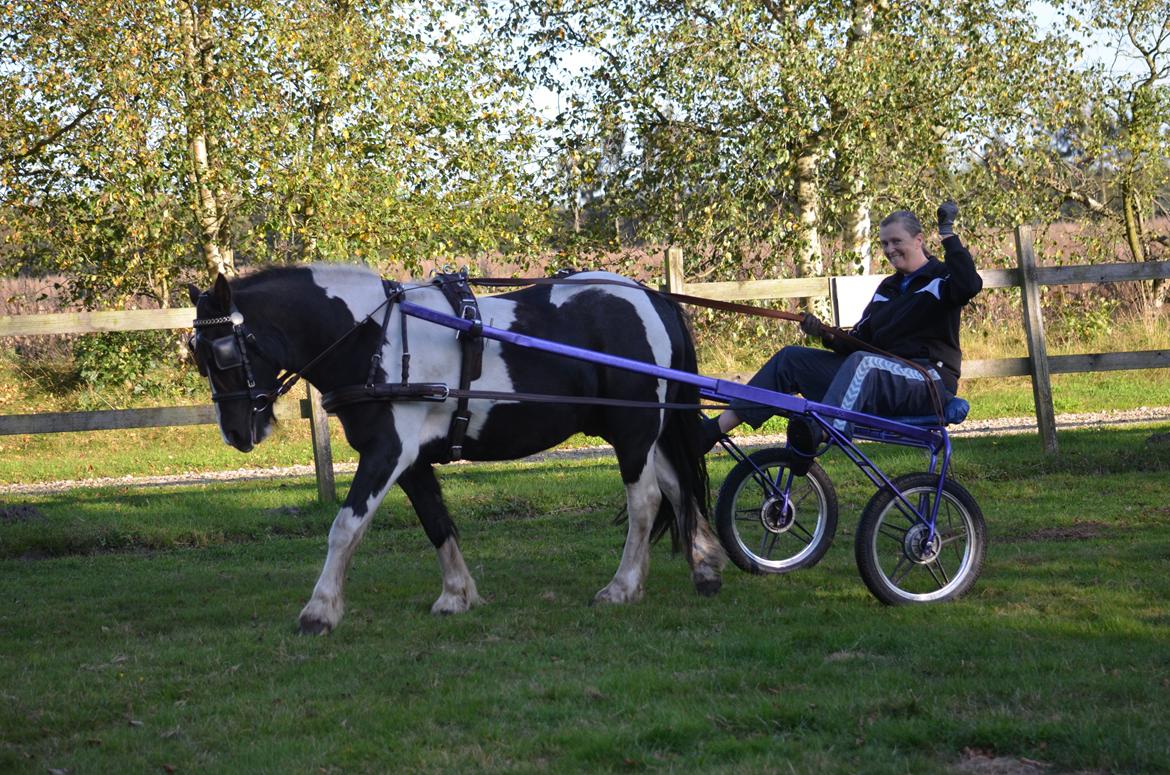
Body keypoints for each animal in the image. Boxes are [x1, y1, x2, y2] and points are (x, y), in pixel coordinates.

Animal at [188, 264, 725, 636]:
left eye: (225, 353)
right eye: (199, 358)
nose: (236, 433)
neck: (375, 339)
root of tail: (653, 298)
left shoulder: (388, 452)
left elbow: (345, 526)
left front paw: (319, 611)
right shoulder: (411, 461)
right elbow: (436, 522)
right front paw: (457, 595)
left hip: (632, 431)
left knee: (646, 501)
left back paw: (623, 587)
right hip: (643, 432)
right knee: (676, 487)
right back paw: (704, 568)